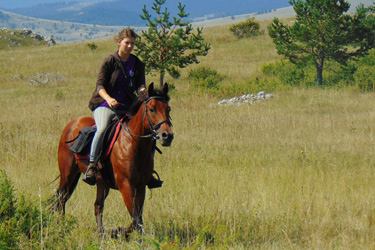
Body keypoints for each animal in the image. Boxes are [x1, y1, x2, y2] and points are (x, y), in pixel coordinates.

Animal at [54, 83, 173, 235]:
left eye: (168, 109)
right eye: (152, 109)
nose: (167, 136)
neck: (133, 143)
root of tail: (71, 125)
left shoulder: (140, 186)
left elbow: (138, 219)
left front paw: (118, 231)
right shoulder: (125, 184)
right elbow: (135, 219)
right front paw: (119, 231)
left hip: (101, 182)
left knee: (97, 206)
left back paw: (101, 233)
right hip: (67, 174)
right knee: (61, 199)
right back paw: (62, 227)